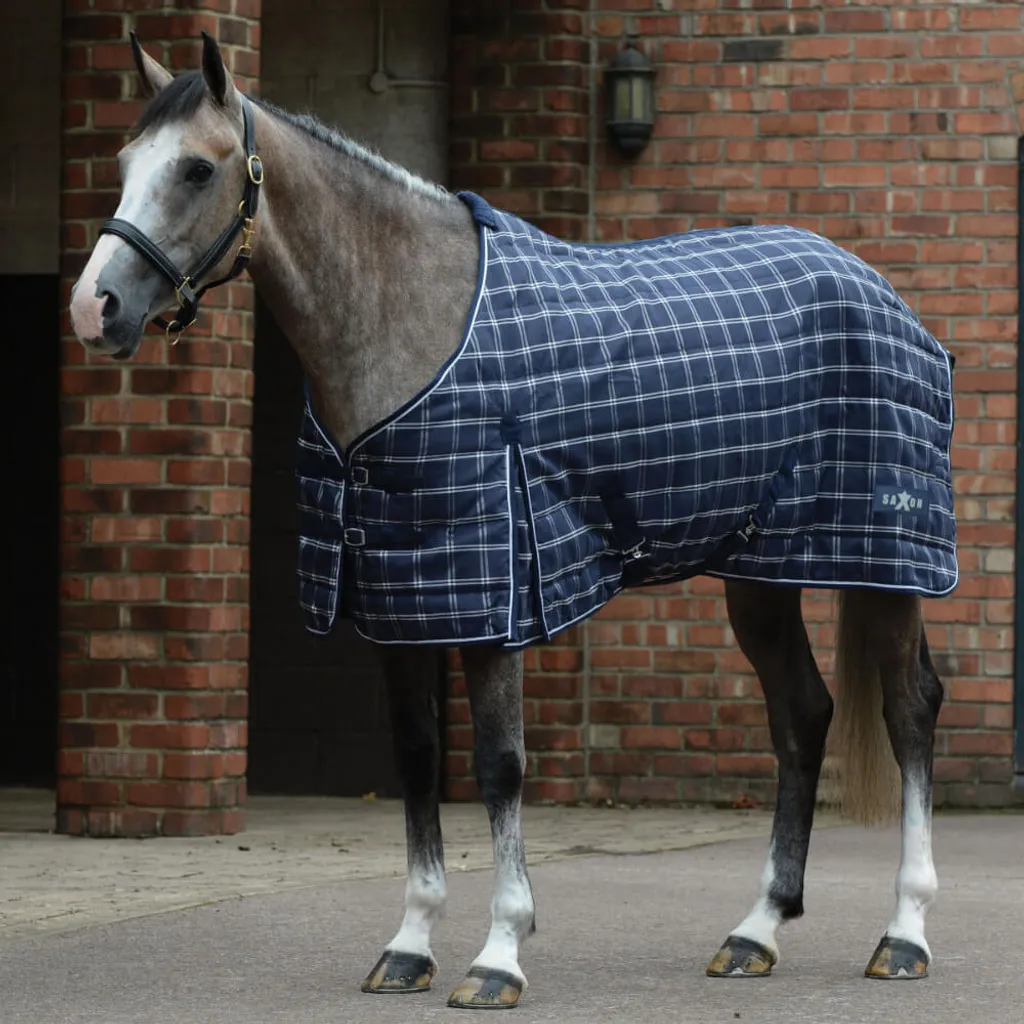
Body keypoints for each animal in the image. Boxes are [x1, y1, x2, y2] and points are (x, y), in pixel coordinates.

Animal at [70, 33, 956, 1007]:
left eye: (196, 167)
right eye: (123, 162)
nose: (93, 308)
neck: (413, 325)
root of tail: (877, 289)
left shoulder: (492, 593)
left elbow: (499, 766)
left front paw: (498, 955)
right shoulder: (400, 599)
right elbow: (419, 759)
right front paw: (409, 947)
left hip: (889, 560)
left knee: (911, 709)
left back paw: (905, 934)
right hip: (760, 572)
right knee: (801, 712)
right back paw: (754, 932)